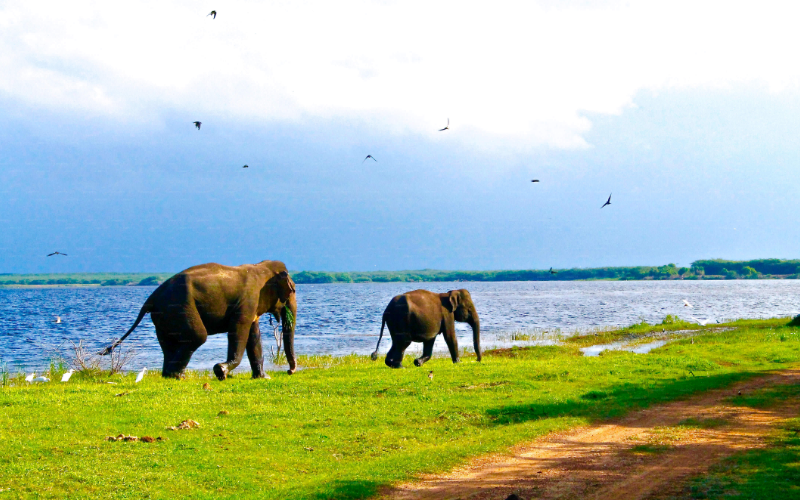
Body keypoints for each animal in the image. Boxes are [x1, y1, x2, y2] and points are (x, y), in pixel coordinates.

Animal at [100, 262, 296, 378]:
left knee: (169, 344)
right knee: (197, 336)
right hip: (180, 307)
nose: (290, 371)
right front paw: (221, 371)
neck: (261, 267)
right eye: (292, 291)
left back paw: (170, 376)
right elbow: (239, 330)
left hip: (164, 316)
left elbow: (253, 336)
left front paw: (263, 378)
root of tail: (151, 298)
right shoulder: (247, 301)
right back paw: (177, 376)